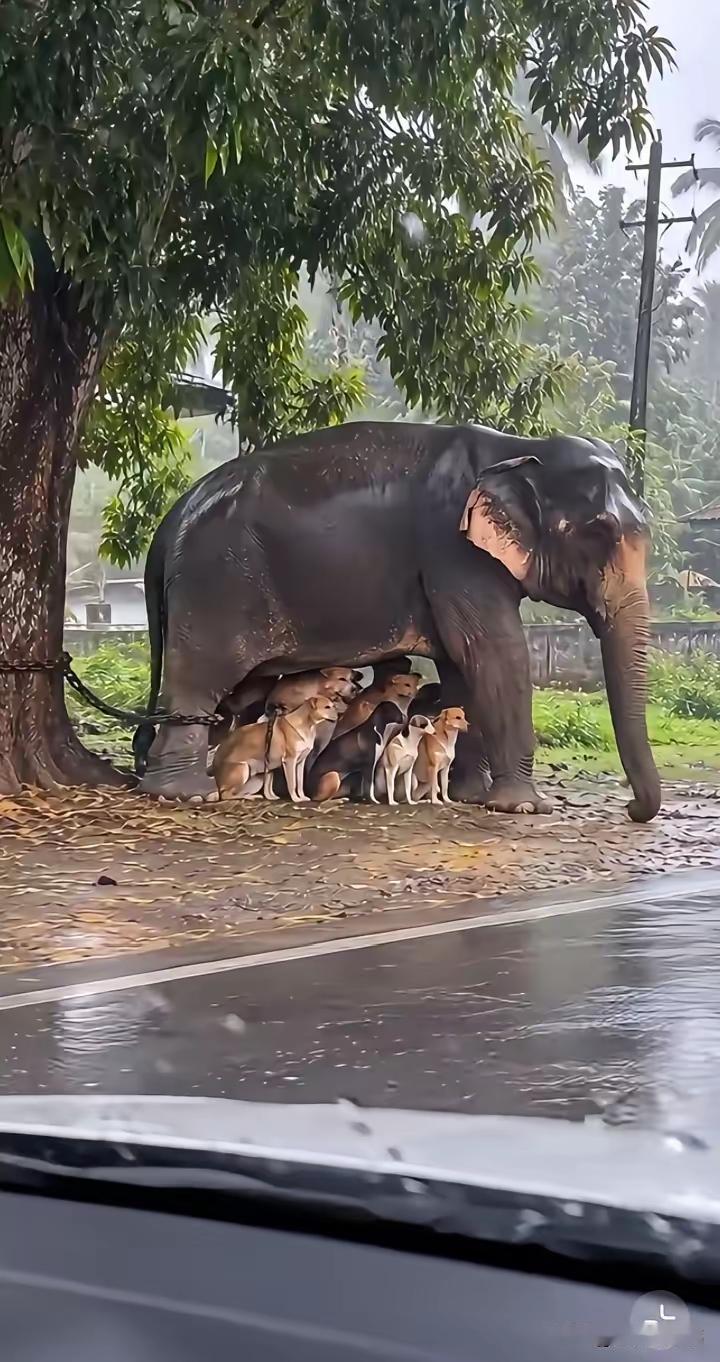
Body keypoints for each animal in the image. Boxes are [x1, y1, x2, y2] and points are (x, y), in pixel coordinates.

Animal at [136, 420, 661, 822]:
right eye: (600, 533)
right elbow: (495, 654)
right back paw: (186, 793)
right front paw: (525, 808)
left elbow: (460, 666)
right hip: (215, 584)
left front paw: (470, 795)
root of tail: (174, 515)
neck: (519, 448)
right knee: (200, 676)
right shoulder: (454, 553)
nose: (633, 810)